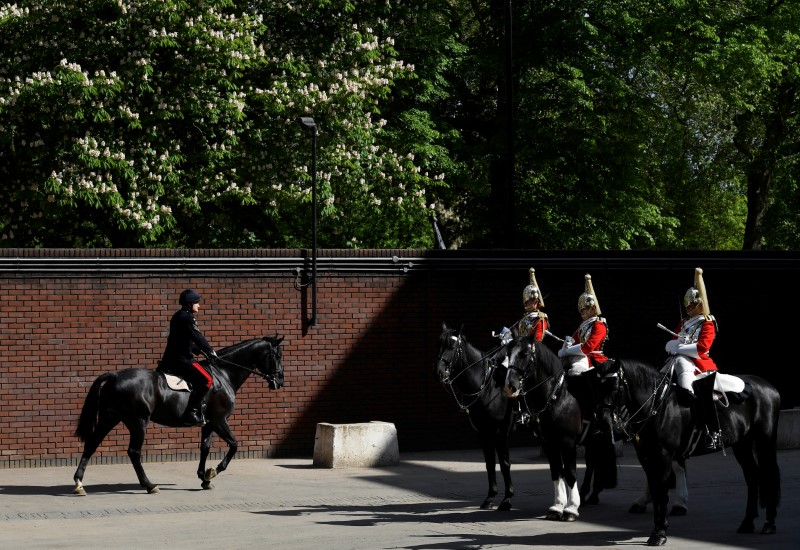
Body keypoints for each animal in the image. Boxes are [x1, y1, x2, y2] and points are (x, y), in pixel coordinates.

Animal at [72, 336, 284, 496]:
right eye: (277, 355)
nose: (280, 381)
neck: (223, 374)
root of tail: (115, 376)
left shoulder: (208, 424)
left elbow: (205, 448)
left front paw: (204, 478)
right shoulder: (219, 420)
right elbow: (233, 445)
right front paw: (213, 472)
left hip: (110, 418)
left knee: (92, 444)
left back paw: (79, 483)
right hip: (138, 422)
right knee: (133, 452)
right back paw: (149, 485)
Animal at [434, 324, 516, 512]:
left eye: (452, 346)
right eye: (439, 344)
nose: (439, 372)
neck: (488, 387)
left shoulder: (501, 432)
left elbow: (504, 463)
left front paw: (507, 499)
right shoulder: (482, 431)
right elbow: (489, 463)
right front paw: (490, 497)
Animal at [500, 336, 620, 520]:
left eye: (524, 354)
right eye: (508, 353)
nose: (509, 386)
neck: (557, 396)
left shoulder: (567, 442)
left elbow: (570, 473)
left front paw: (571, 509)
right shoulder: (548, 442)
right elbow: (557, 471)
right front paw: (557, 507)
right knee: (592, 462)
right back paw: (588, 495)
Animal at [600, 360, 780, 544]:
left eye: (614, 386)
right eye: (597, 384)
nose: (603, 422)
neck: (658, 407)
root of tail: (768, 386)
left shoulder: (663, 456)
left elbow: (662, 492)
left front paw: (659, 532)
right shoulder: (646, 457)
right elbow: (655, 490)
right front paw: (656, 527)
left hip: (765, 442)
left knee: (769, 475)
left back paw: (769, 524)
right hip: (743, 445)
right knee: (753, 477)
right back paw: (747, 523)